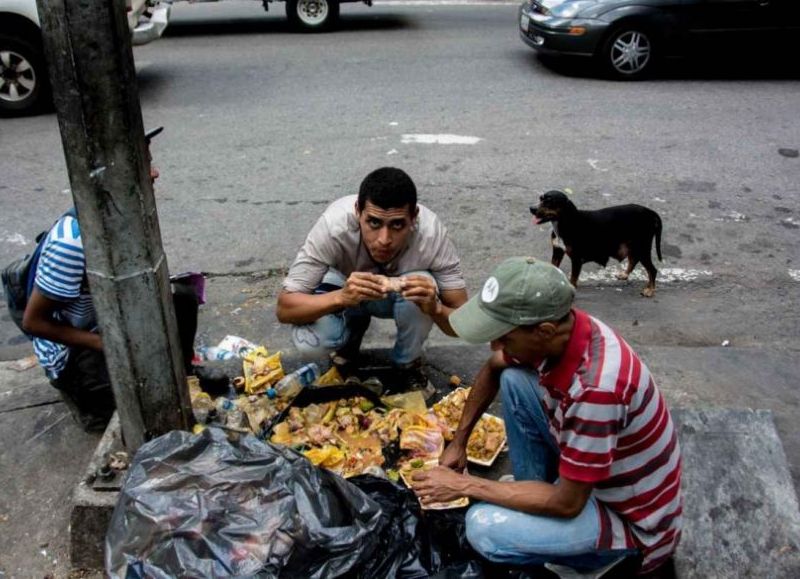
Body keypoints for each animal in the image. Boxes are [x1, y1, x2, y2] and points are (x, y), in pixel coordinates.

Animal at [532, 191, 664, 296]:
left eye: (549, 202)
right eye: (540, 198)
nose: (531, 208)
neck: (564, 224)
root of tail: (650, 212)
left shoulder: (576, 259)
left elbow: (573, 278)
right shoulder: (558, 251)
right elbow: (553, 267)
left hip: (642, 248)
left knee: (652, 270)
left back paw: (650, 290)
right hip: (633, 246)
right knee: (633, 260)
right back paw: (625, 275)